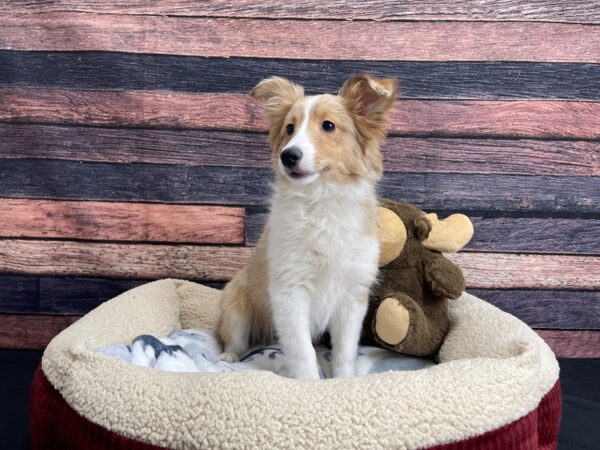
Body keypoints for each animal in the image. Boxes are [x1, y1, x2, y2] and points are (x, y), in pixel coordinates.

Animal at [218, 74, 396, 380]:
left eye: (328, 126)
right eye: (289, 128)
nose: (288, 156)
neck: (321, 200)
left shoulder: (352, 296)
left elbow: (345, 351)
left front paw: (345, 381)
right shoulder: (289, 291)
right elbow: (303, 352)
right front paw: (309, 384)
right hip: (236, 308)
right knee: (236, 340)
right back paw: (229, 356)